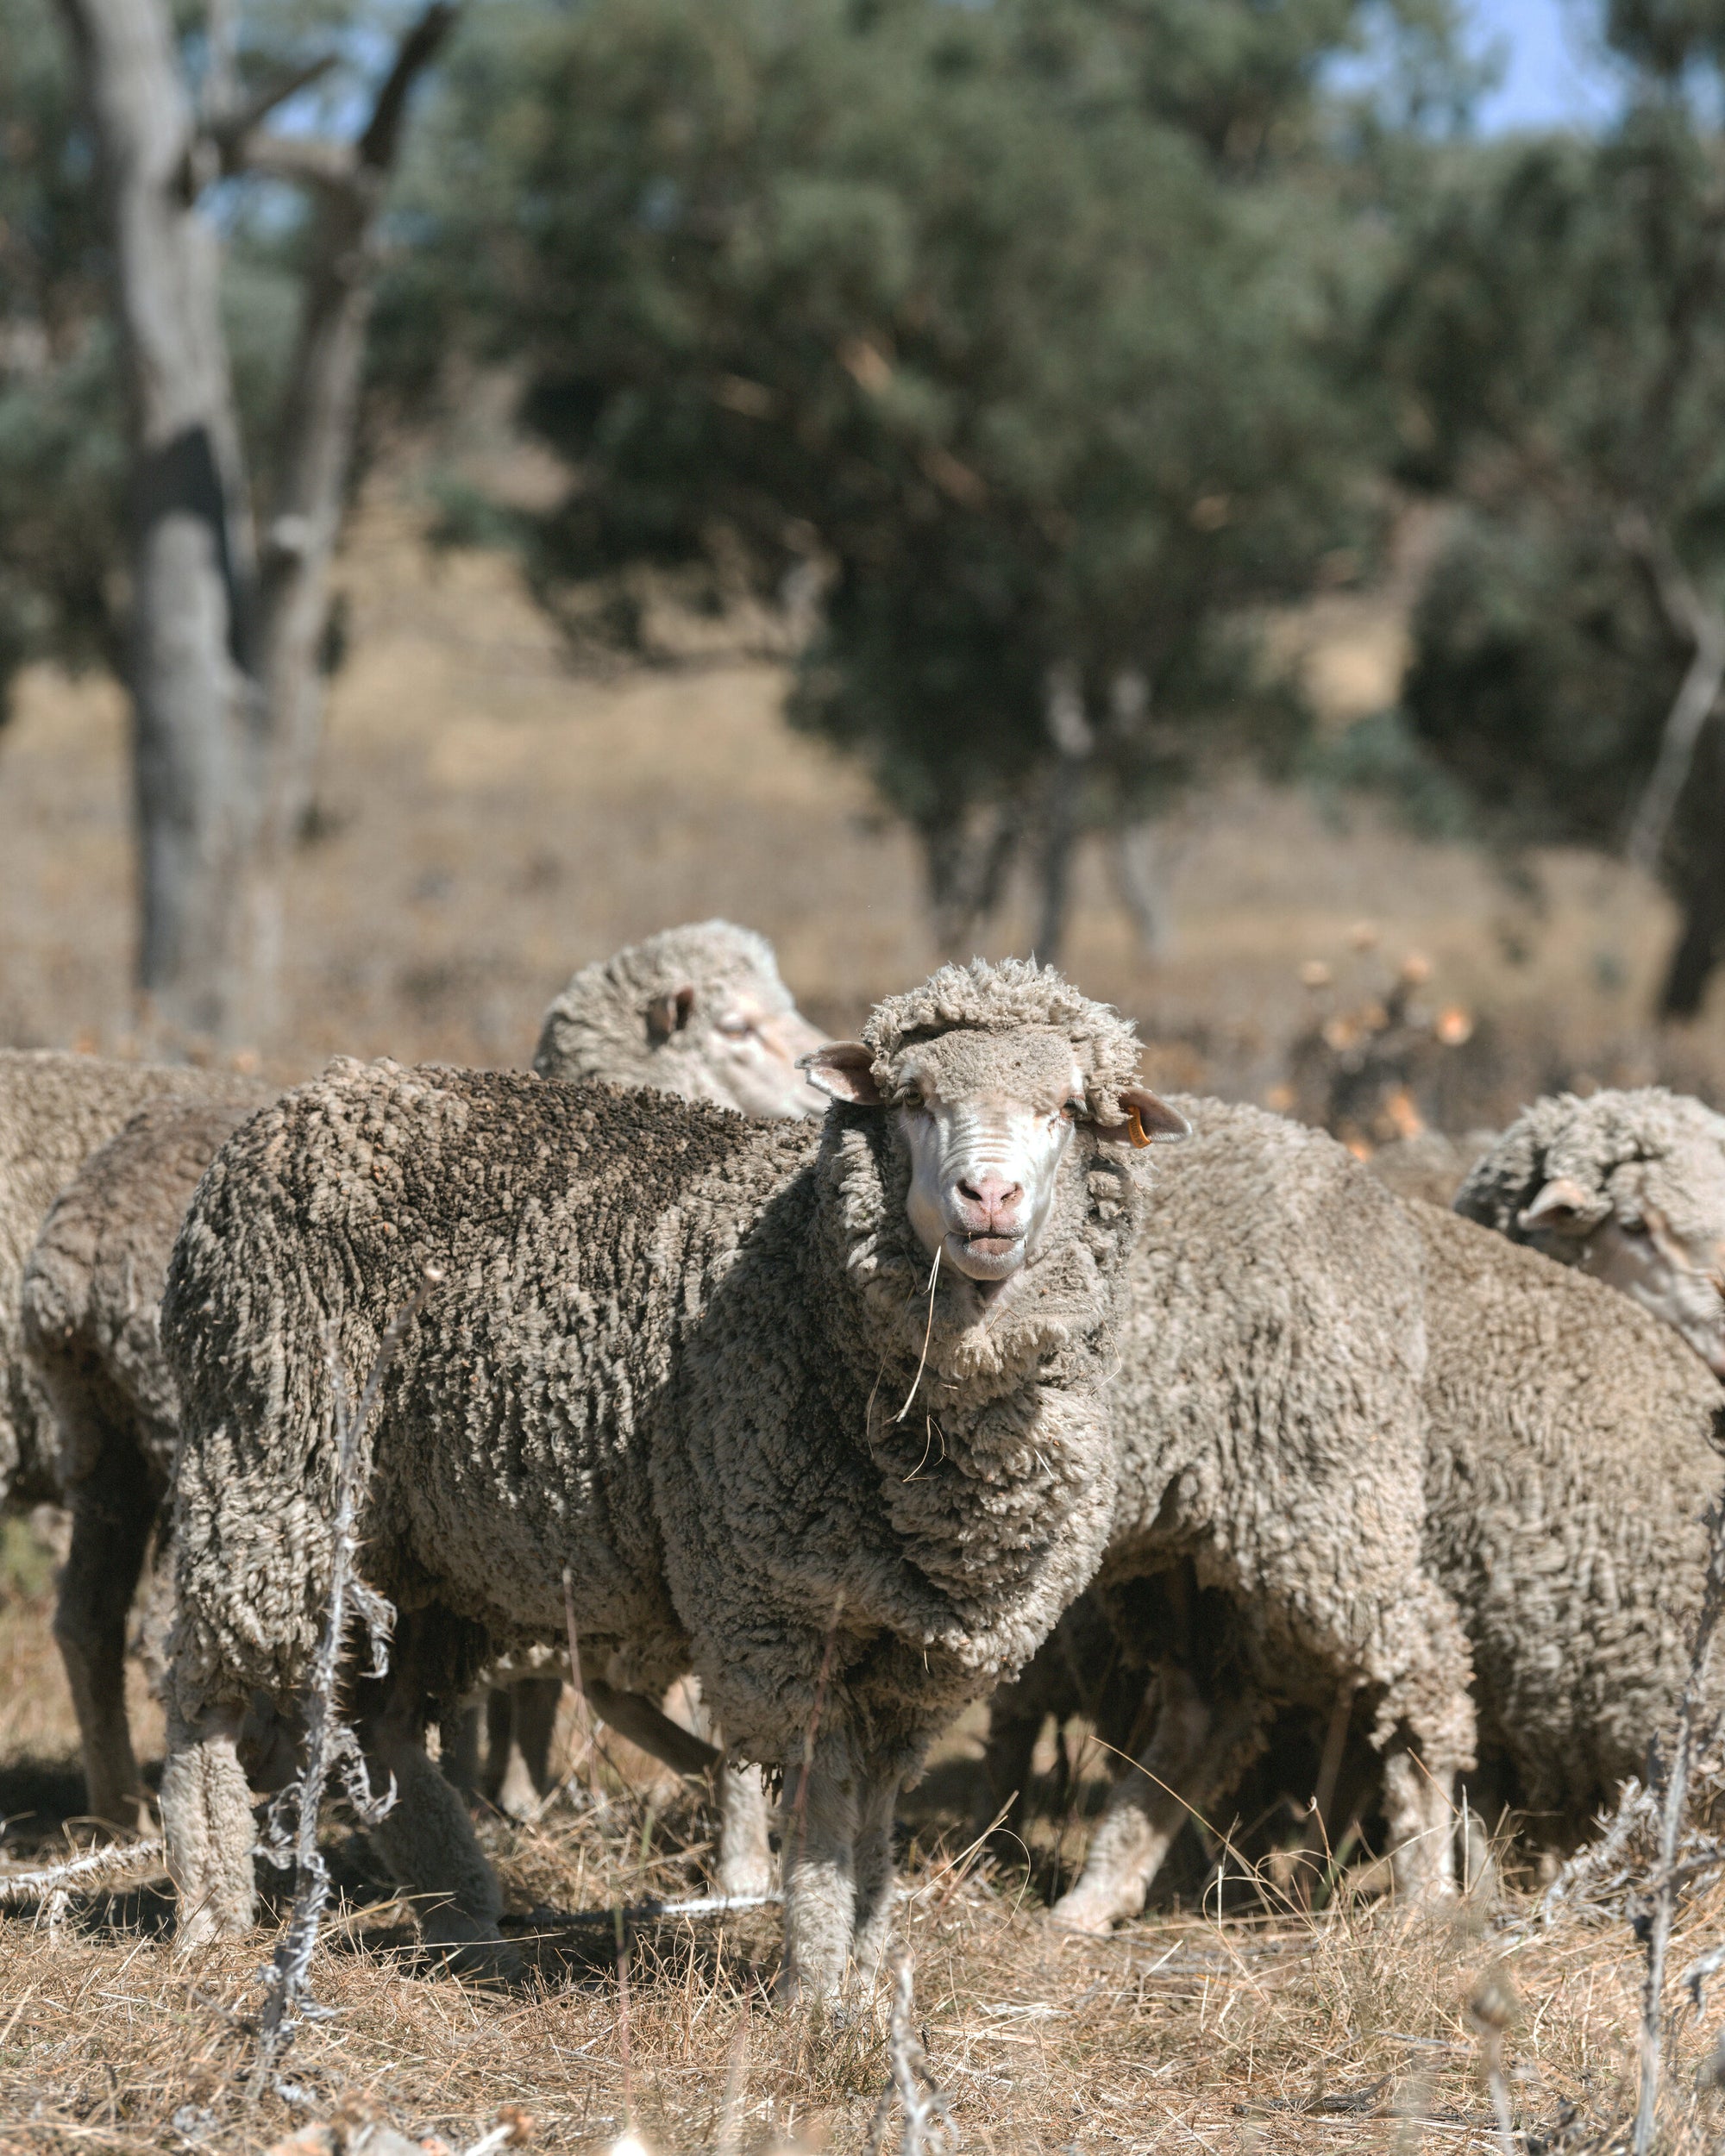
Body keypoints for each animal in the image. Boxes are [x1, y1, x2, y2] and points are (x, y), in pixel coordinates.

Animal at [19, 922, 823, 1863]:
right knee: (183, 1644)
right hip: (248, 1447)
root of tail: (81, 1241)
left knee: (88, 1620)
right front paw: (732, 1849)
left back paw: (127, 1810)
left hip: (109, 1443)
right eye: (736, 1027)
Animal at [157, 958, 1174, 1997]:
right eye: (915, 1100)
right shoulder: (773, 1609)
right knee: (204, 1693)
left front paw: (866, 1966)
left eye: (1065, 1109)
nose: (988, 1198)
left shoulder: (917, 1652)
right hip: (270, 1458)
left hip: (429, 1546)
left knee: (385, 1721)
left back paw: (465, 1922)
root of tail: (310, 1094)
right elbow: (824, 1806)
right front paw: (814, 1990)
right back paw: (210, 1909)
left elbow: (879, 1815)